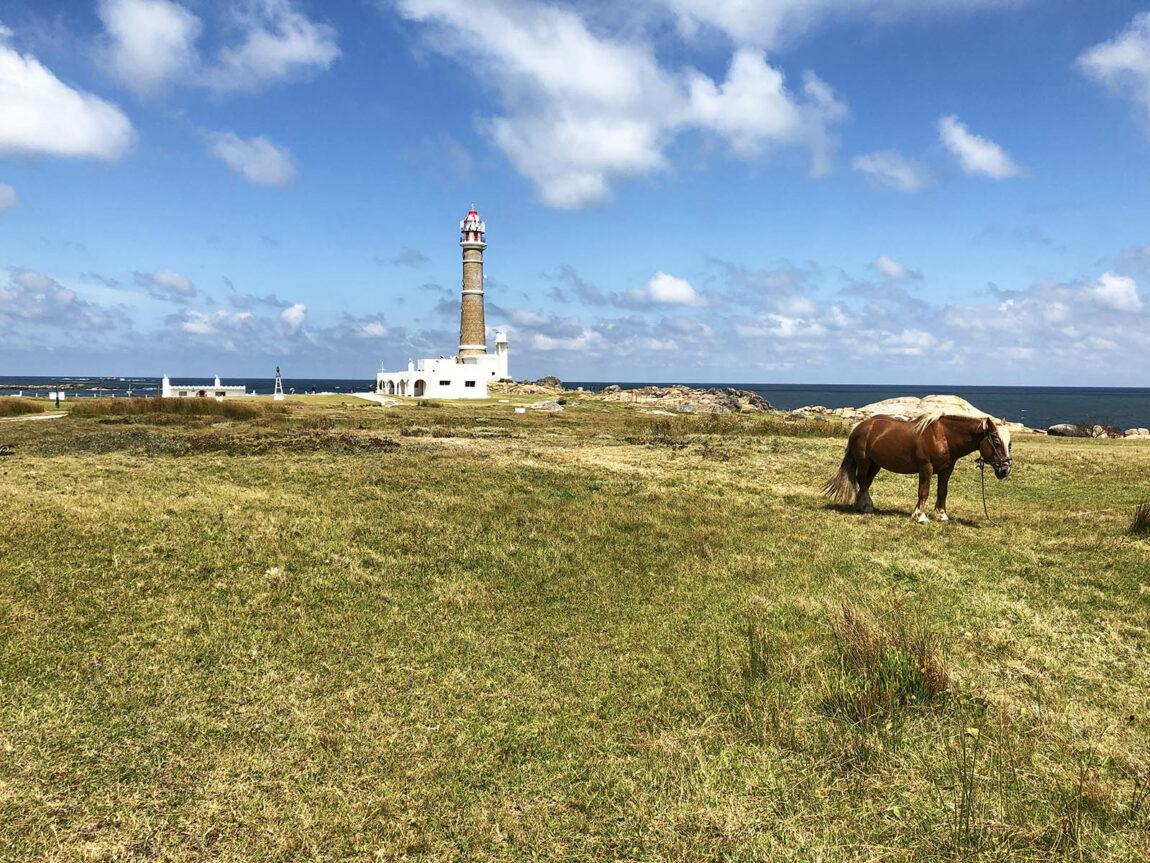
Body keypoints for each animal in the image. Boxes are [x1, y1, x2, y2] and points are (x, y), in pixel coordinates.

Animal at [823, 414, 1012, 524]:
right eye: (996, 442)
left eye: (1009, 443)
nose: (1005, 470)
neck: (943, 436)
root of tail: (859, 427)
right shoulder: (926, 467)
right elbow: (924, 491)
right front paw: (921, 516)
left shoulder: (946, 470)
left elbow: (942, 491)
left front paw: (941, 515)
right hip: (864, 462)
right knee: (862, 481)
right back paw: (866, 506)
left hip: (875, 464)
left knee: (866, 483)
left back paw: (861, 505)